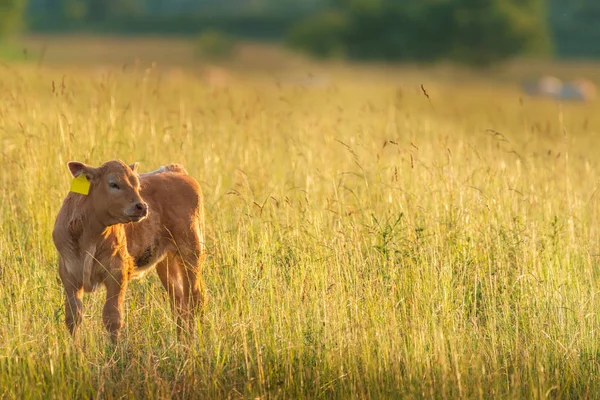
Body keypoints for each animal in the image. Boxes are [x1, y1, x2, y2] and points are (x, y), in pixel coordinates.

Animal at [52, 159, 206, 340]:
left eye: (137, 184)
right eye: (113, 184)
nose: (142, 207)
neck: (89, 235)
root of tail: (175, 170)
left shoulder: (117, 272)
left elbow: (112, 317)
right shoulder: (69, 275)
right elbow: (73, 317)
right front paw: (76, 347)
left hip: (191, 251)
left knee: (195, 296)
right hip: (167, 261)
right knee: (178, 300)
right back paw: (181, 339)